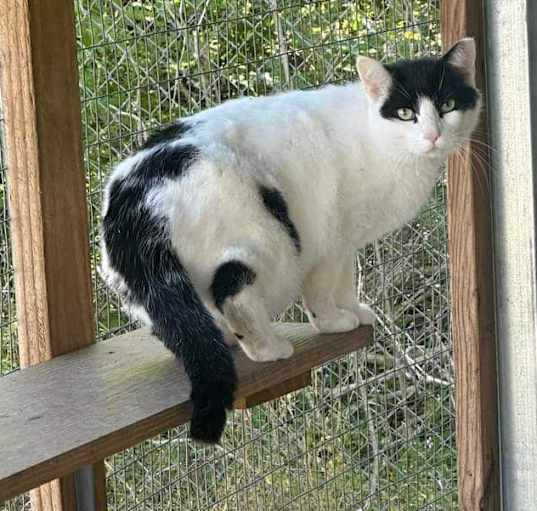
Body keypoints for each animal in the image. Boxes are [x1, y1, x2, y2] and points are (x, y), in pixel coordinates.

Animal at [101, 38, 482, 444]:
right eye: (406, 113)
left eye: (447, 106)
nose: (432, 136)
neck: (383, 144)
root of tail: (137, 195)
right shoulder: (330, 239)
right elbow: (322, 290)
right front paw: (332, 321)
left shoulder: (347, 241)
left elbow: (346, 281)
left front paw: (356, 311)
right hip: (270, 237)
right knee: (231, 292)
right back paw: (267, 347)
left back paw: (225, 337)